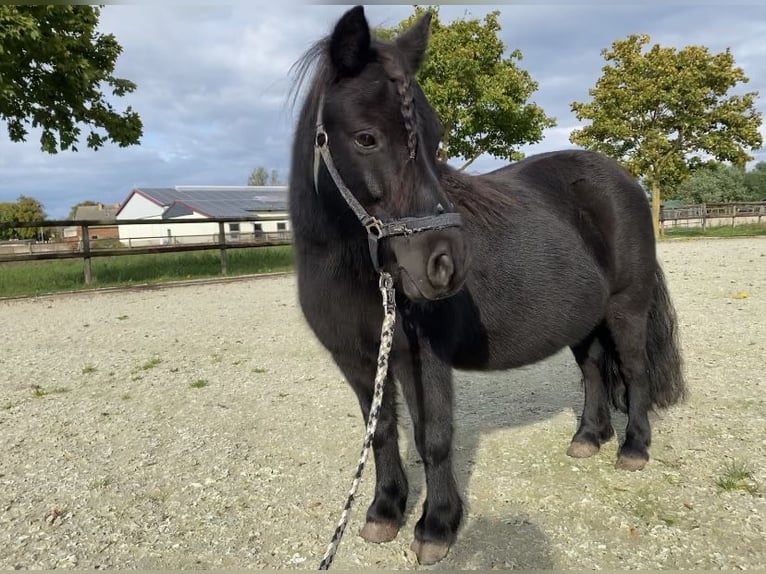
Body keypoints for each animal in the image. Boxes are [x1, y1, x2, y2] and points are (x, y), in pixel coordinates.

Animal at [288, 4, 684, 568]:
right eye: (366, 137)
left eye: (435, 140)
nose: (446, 264)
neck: (358, 269)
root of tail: (625, 180)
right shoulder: (357, 361)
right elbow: (381, 432)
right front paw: (384, 513)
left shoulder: (421, 357)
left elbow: (433, 437)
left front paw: (436, 526)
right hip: (583, 320)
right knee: (592, 370)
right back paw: (588, 437)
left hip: (626, 308)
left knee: (633, 369)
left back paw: (633, 449)